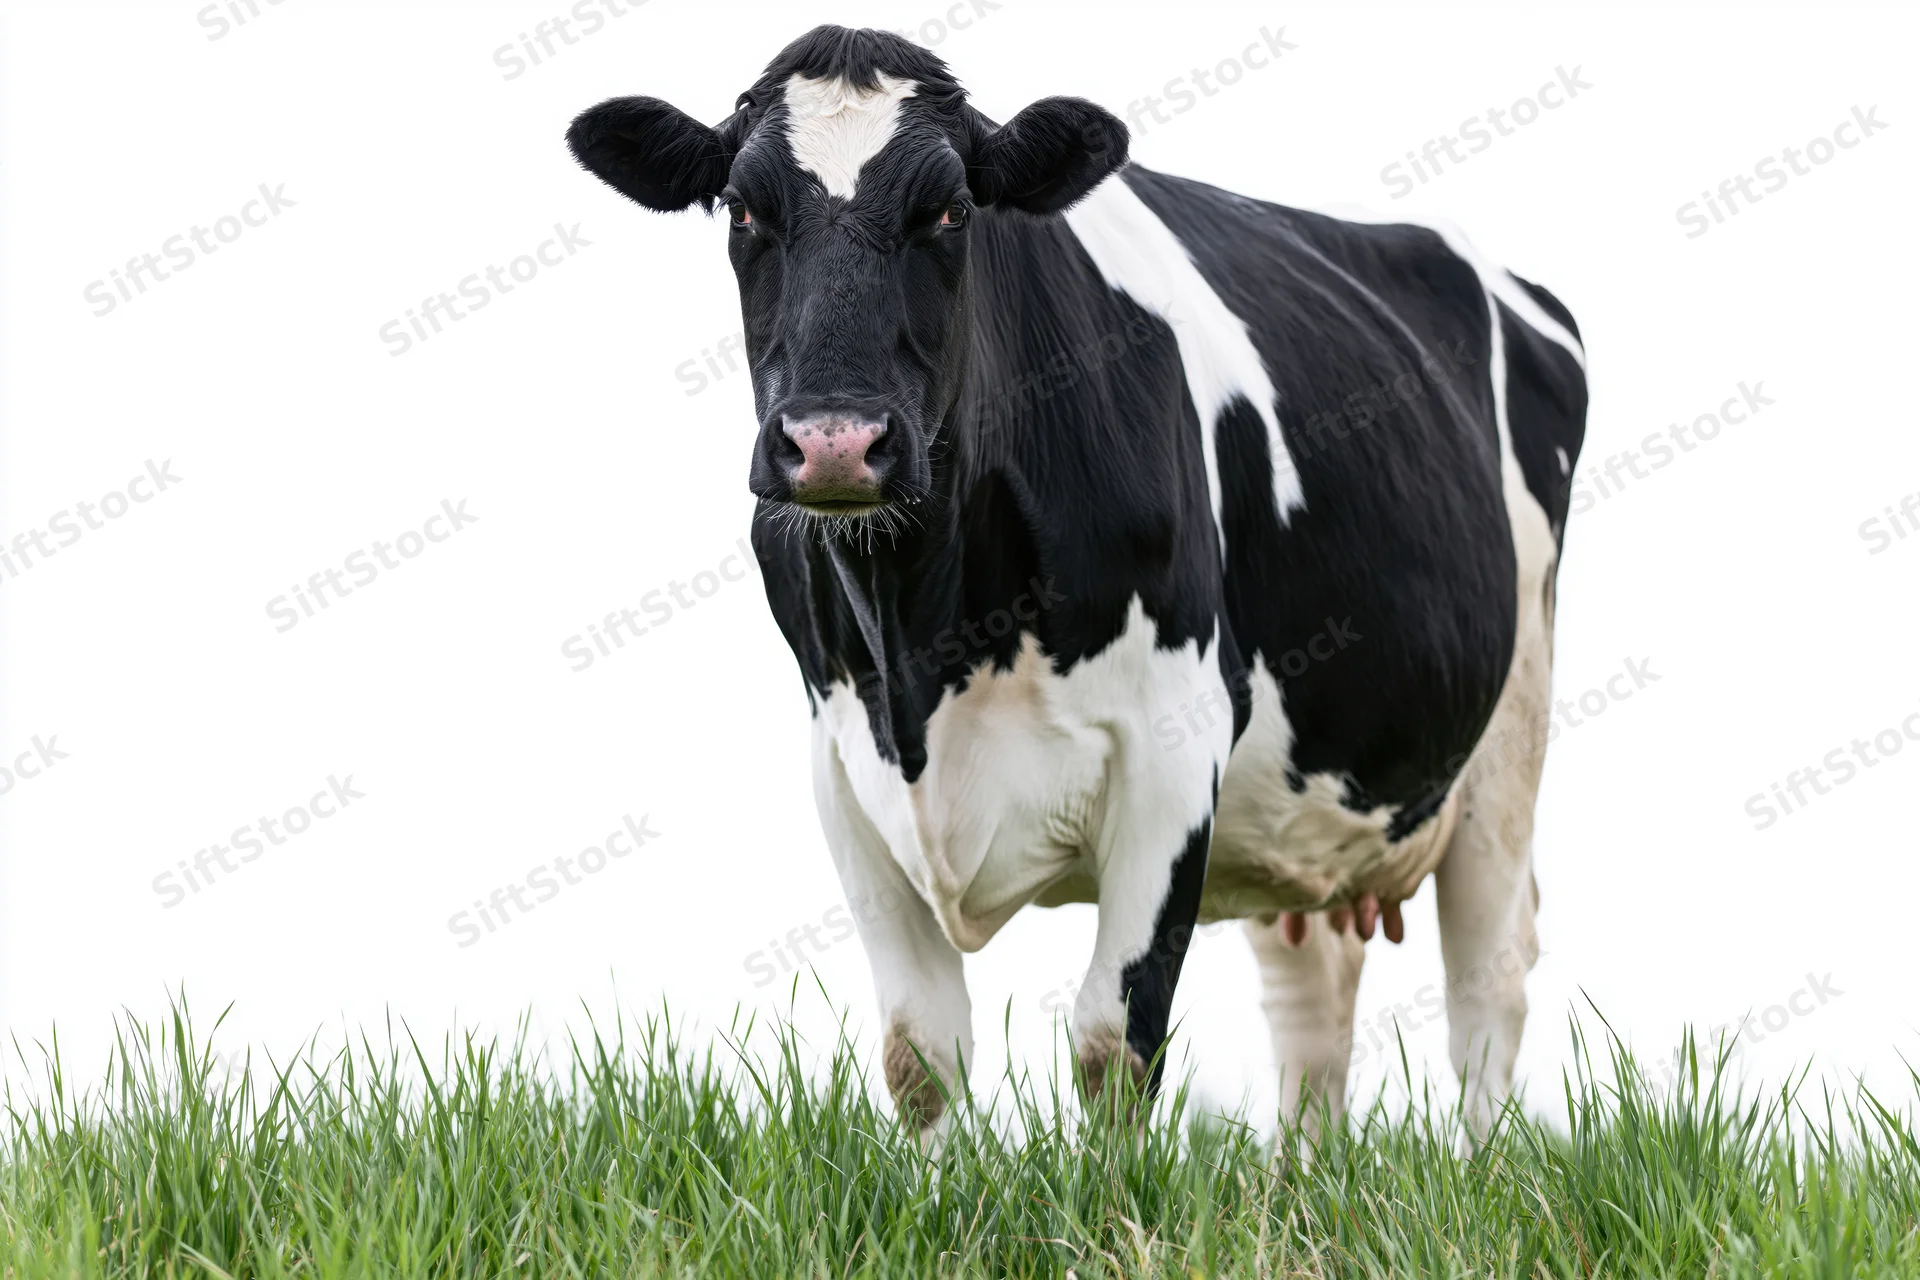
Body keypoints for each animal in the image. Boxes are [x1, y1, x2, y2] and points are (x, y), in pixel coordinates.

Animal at [567, 25, 1588, 1142]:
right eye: (745, 210)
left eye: (950, 210)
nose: (835, 441)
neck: (926, 642)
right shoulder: (842, 762)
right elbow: (919, 1054)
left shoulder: (1178, 742)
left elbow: (1113, 1040)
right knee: (1313, 996)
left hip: (1508, 734)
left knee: (1489, 981)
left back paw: (1484, 1161)